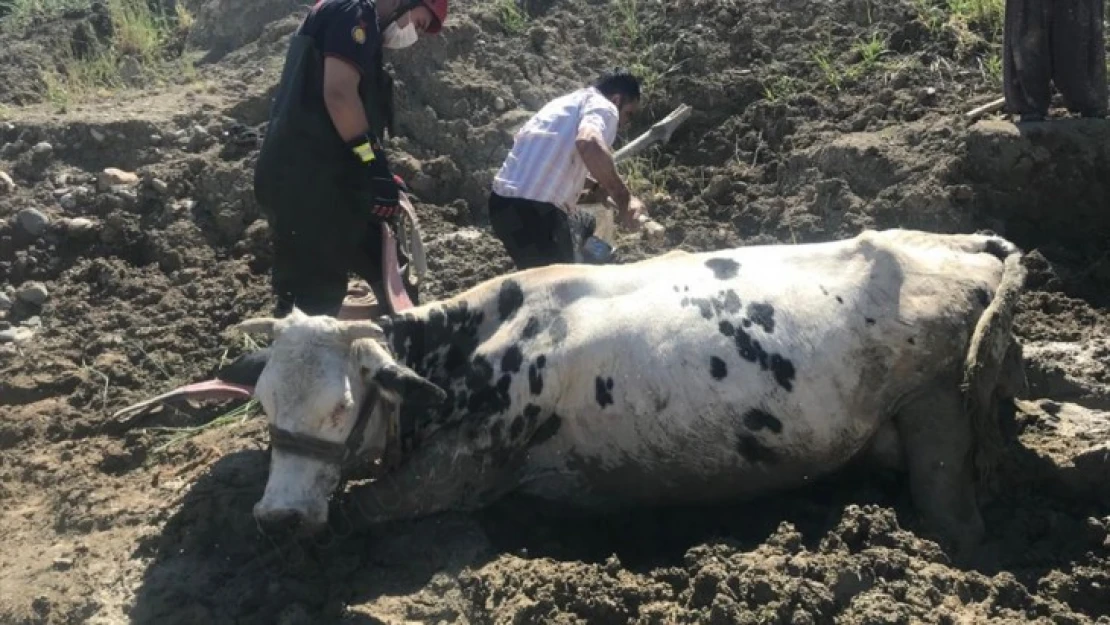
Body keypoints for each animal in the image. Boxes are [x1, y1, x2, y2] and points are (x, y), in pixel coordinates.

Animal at [170, 228, 1021, 557]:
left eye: (343, 406)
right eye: (265, 405)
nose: (278, 517)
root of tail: (964, 245)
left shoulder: (462, 471)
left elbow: (360, 507)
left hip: (936, 411)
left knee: (962, 520)